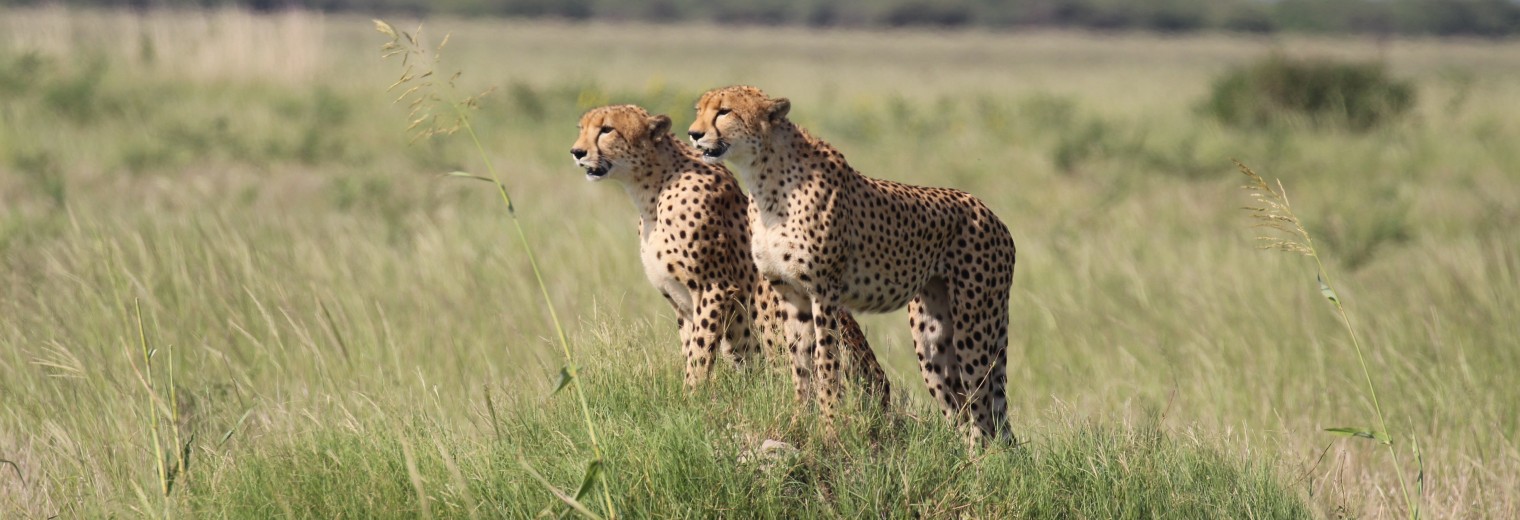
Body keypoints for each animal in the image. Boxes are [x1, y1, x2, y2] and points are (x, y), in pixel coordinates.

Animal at [568, 102, 887, 401]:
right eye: (581, 128)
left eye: (606, 129)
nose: (577, 152)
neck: (650, 192)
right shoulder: (681, 301)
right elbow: (690, 347)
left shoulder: (715, 287)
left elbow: (699, 352)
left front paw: (690, 399)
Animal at [690, 86, 1021, 443]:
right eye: (699, 110)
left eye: (724, 111)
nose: (693, 134)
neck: (763, 176)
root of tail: (992, 214)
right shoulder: (791, 293)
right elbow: (799, 364)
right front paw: (798, 423)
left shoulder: (824, 293)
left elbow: (826, 362)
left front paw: (830, 429)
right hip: (932, 340)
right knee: (965, 410)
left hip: (975, 327)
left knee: (984, 412)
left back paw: (980, 458)